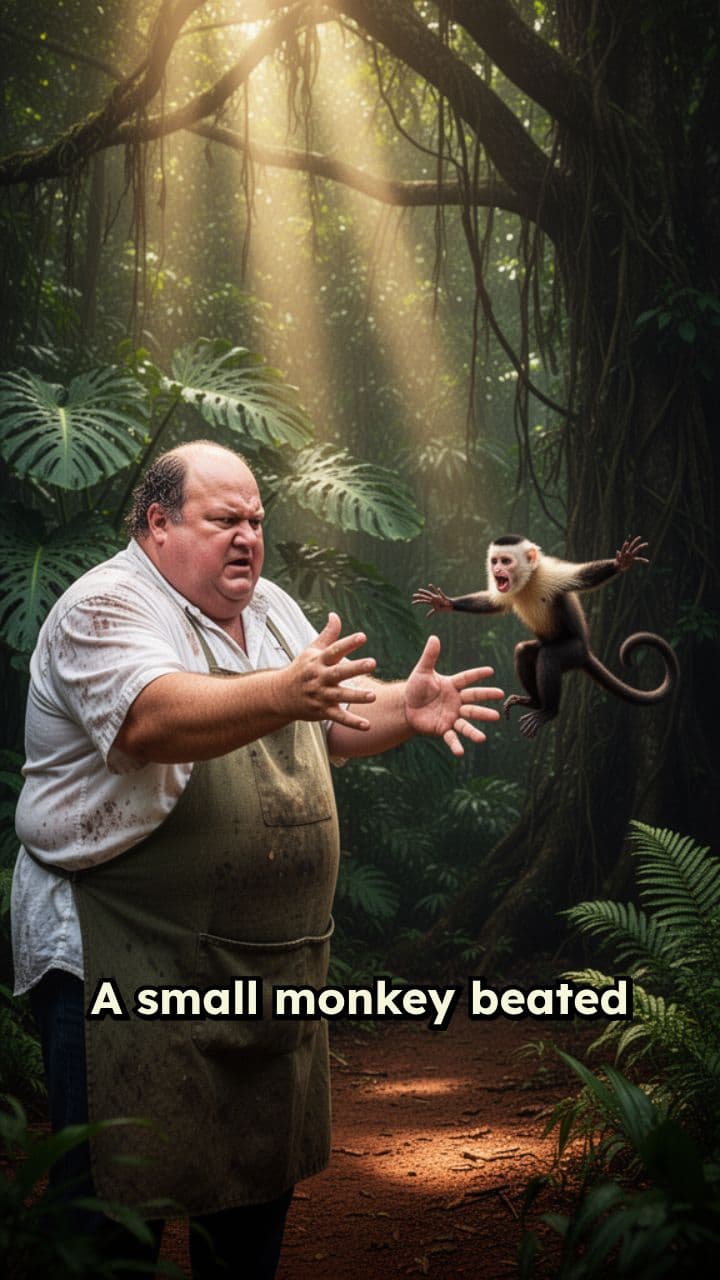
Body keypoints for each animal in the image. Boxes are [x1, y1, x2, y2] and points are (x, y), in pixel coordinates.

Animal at [412, 535, 678, 739]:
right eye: (495, 561)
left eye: (506, 561)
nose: (496, 570)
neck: (527, 581)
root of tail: (587, 651)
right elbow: (493, 603)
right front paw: (445, 603)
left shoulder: (550, 573)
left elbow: (584, 577)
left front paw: (621, 562)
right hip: (548, 644)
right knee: (525, 652)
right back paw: (533, 701)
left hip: (574, 651)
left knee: (550, 656)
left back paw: (548, 711)